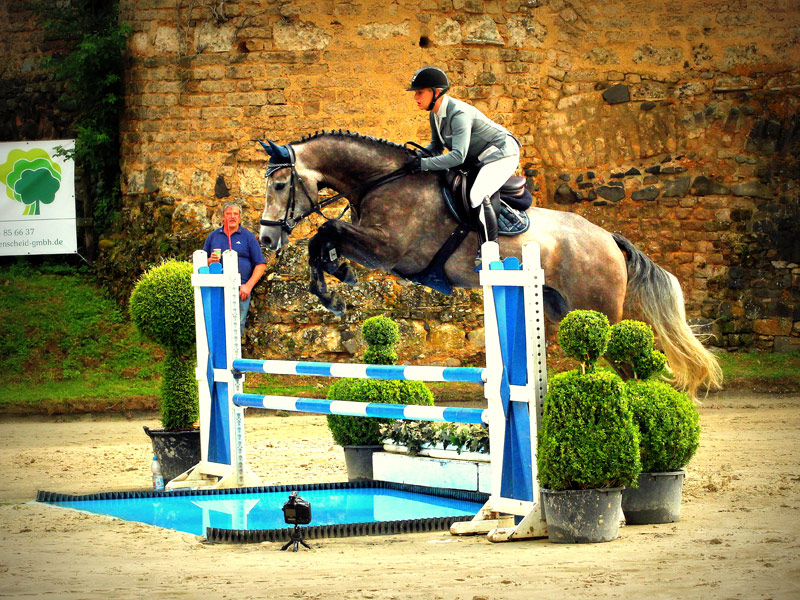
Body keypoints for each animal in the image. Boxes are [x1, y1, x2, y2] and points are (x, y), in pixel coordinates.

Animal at [260, 130, 720, 398]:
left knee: (627, 367)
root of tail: (608, 237)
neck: (383, 180)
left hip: (599, 312)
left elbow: (326, 231)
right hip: (559, 310)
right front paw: (333, 281)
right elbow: (324, 238)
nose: (265, 238)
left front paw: (334, 287)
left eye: (281, 185)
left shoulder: (389, 249)